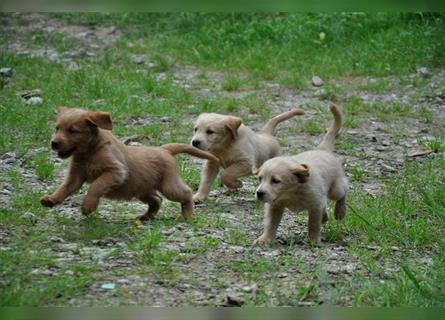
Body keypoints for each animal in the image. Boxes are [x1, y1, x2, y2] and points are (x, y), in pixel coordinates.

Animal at [40, 107, 218, 220]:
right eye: (57, 128)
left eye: (72, 130)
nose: (54, 143)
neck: (89, 152)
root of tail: (164, 149)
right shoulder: (75, 177)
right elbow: (64, 188)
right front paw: (51, 199)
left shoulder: (115, 171)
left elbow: (96, 185)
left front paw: (88, 206)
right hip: (142, 188)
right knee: (157, 200)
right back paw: (145, 217)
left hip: (169, 185)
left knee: (186, 193)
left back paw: (186, 215)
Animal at [251, 104, 346, 244]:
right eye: (260, 179)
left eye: (275, 181)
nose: (259, 193)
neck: (291, 192)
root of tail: (322, 150)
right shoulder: (274, 206)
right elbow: (271, 224)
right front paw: (265, 239)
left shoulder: (315, 205)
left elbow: (313, 224)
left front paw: (313, 240)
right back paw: (326, 217)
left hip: (335, 189)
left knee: (344, 191)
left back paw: (340, 212)